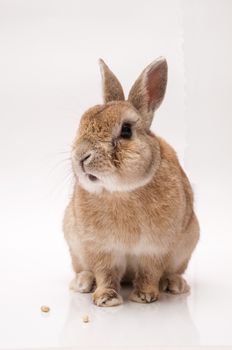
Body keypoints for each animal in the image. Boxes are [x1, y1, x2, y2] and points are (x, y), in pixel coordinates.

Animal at [63, 57, 199, 306]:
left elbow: (149, 272)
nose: (81, 156)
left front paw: (144, 296)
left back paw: (175, 284)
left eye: (126, 131)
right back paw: (83, 282)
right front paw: (106, 299)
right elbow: (105, 272)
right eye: (83, 121)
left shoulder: (155, 248)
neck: (121, 191)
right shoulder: (101, 248)